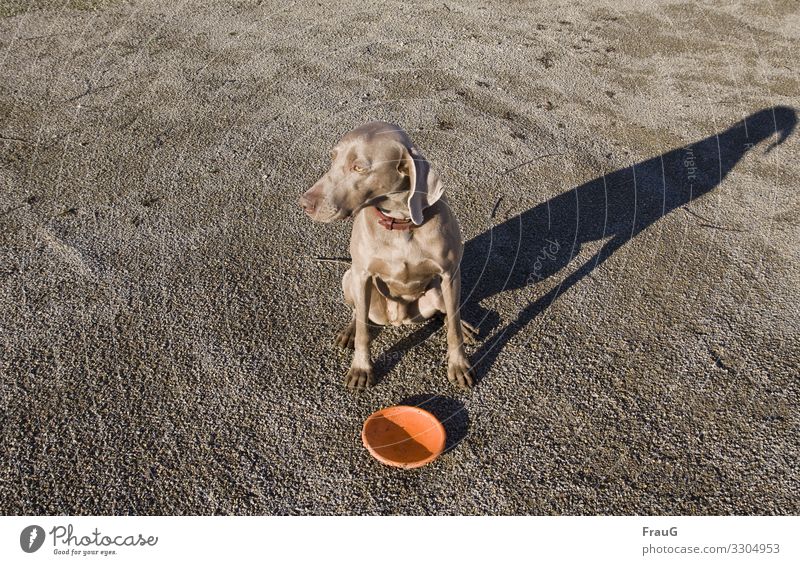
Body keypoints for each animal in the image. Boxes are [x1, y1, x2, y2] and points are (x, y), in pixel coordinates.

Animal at [300, 121, 476, 390]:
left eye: (359, 167)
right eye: (333, 157)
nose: (304, 204)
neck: (401, 223)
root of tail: (398, 319)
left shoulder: (450, 273)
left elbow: (453, 325)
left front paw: (459, 364)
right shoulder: (362, 274)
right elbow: (363, 331)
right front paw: (361, 369)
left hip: (436, 291)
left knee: (447, 311)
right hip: (349, 278)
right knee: (358, 313)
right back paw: (350, 331)